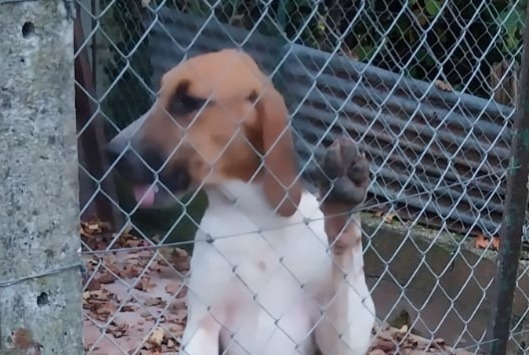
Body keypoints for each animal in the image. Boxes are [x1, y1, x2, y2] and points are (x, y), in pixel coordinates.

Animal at [105, 48, 374, 355]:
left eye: (186, 102)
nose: (112, 152)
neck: (254, 215)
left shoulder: (338, 336)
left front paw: (342, 205)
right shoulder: (203, 326)